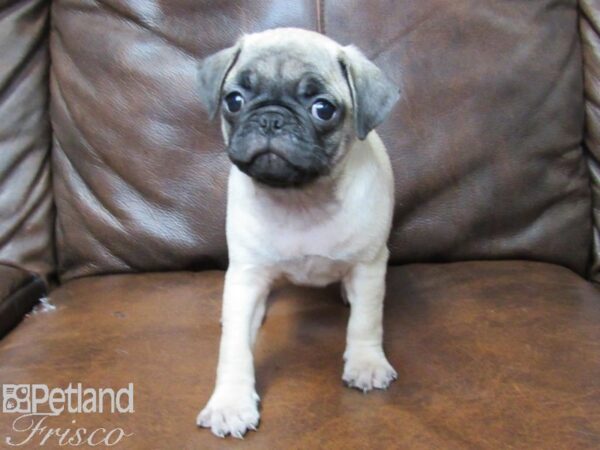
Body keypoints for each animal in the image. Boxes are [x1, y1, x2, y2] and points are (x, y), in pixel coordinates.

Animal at [197, 26, 400, 438]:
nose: (271, 119)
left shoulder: (368, 268)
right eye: (234, 100)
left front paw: (366, 363)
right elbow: (234, 348)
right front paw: (230, 403)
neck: (300, 199)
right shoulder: (246, 276)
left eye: (323, 109)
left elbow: (366, 320)